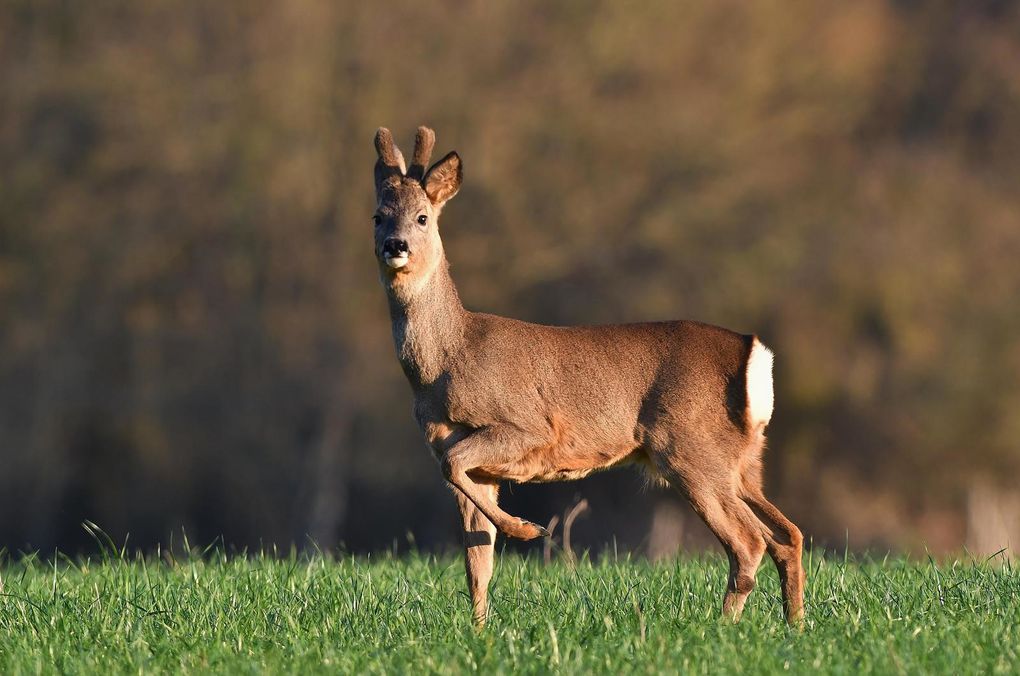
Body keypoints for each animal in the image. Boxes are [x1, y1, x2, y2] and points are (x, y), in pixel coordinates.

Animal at [373, 125, 803, 624]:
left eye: (423, 217)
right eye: (378, 216)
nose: (396, 246)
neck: (445, 360)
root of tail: (754, 354)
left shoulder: (527, 425)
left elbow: (455, 471)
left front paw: (529, 530)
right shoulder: (463, 454)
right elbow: (476, 558)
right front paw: (479, 629)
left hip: (693, 450)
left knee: (749, 542)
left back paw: (721, 626)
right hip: (743, 461)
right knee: (787, 536)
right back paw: (794, 625)